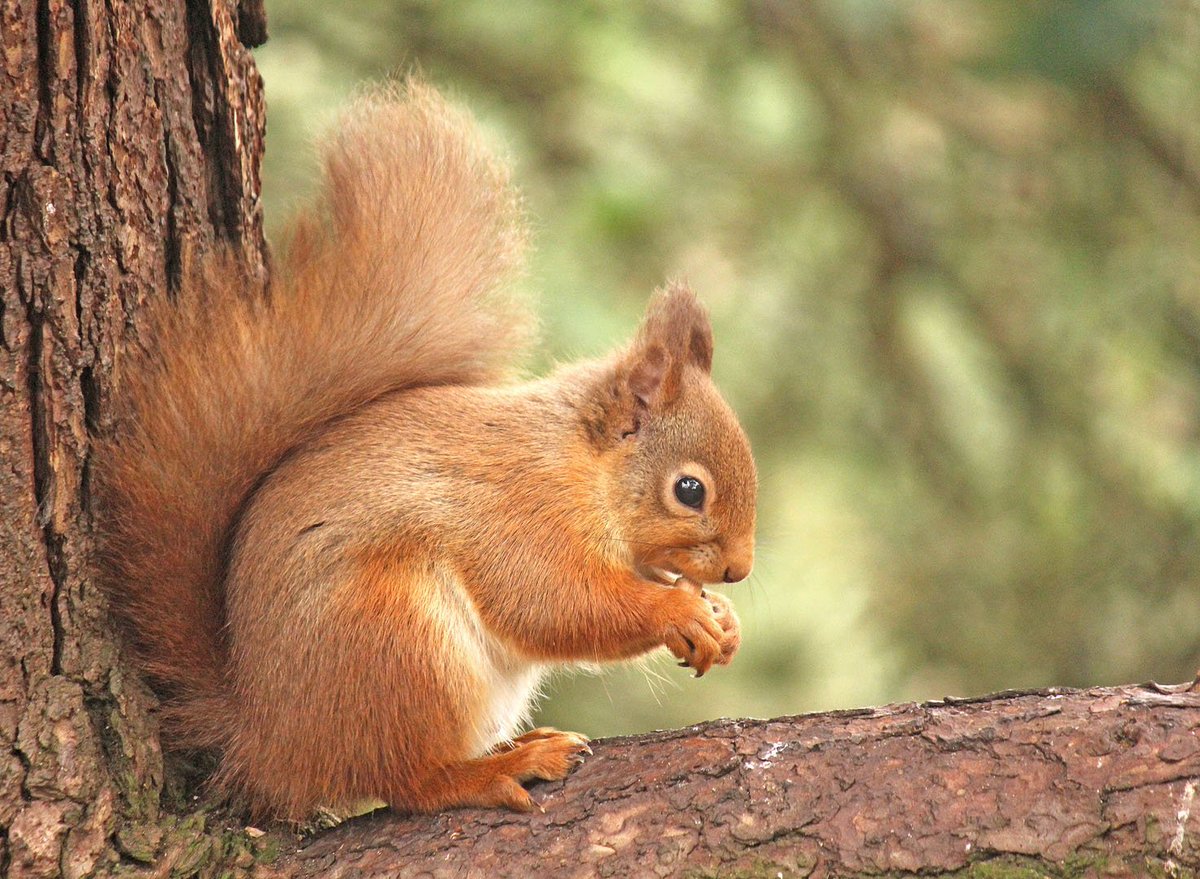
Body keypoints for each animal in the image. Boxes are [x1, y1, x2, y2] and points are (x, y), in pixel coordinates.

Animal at [103, 79, 758, 821]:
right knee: (408, 777)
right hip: (398, 641)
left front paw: (724, 621)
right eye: (689, 490)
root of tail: (269, 737)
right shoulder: (519, 515)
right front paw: (679, 610)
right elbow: (553, 603)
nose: (738, 569)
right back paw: (496, 769)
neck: (581, 468)